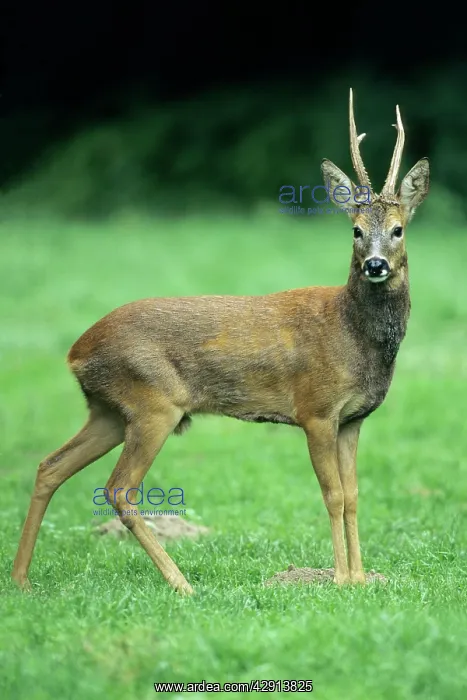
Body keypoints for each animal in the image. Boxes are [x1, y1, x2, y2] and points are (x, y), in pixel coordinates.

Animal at [12, 89, 429, 596]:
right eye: (355, 230)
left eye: (398, 229)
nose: (375, 265)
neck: (351, 334)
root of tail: (75, 352)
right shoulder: (314, 409)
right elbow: (331, 493)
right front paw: (341, 579)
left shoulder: (353, 418)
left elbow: (353, 495)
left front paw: (363, 579)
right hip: (152, 403)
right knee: (119, 488)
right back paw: (182, 584)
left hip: (110, 410)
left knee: (49, 466)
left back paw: (20, 579)